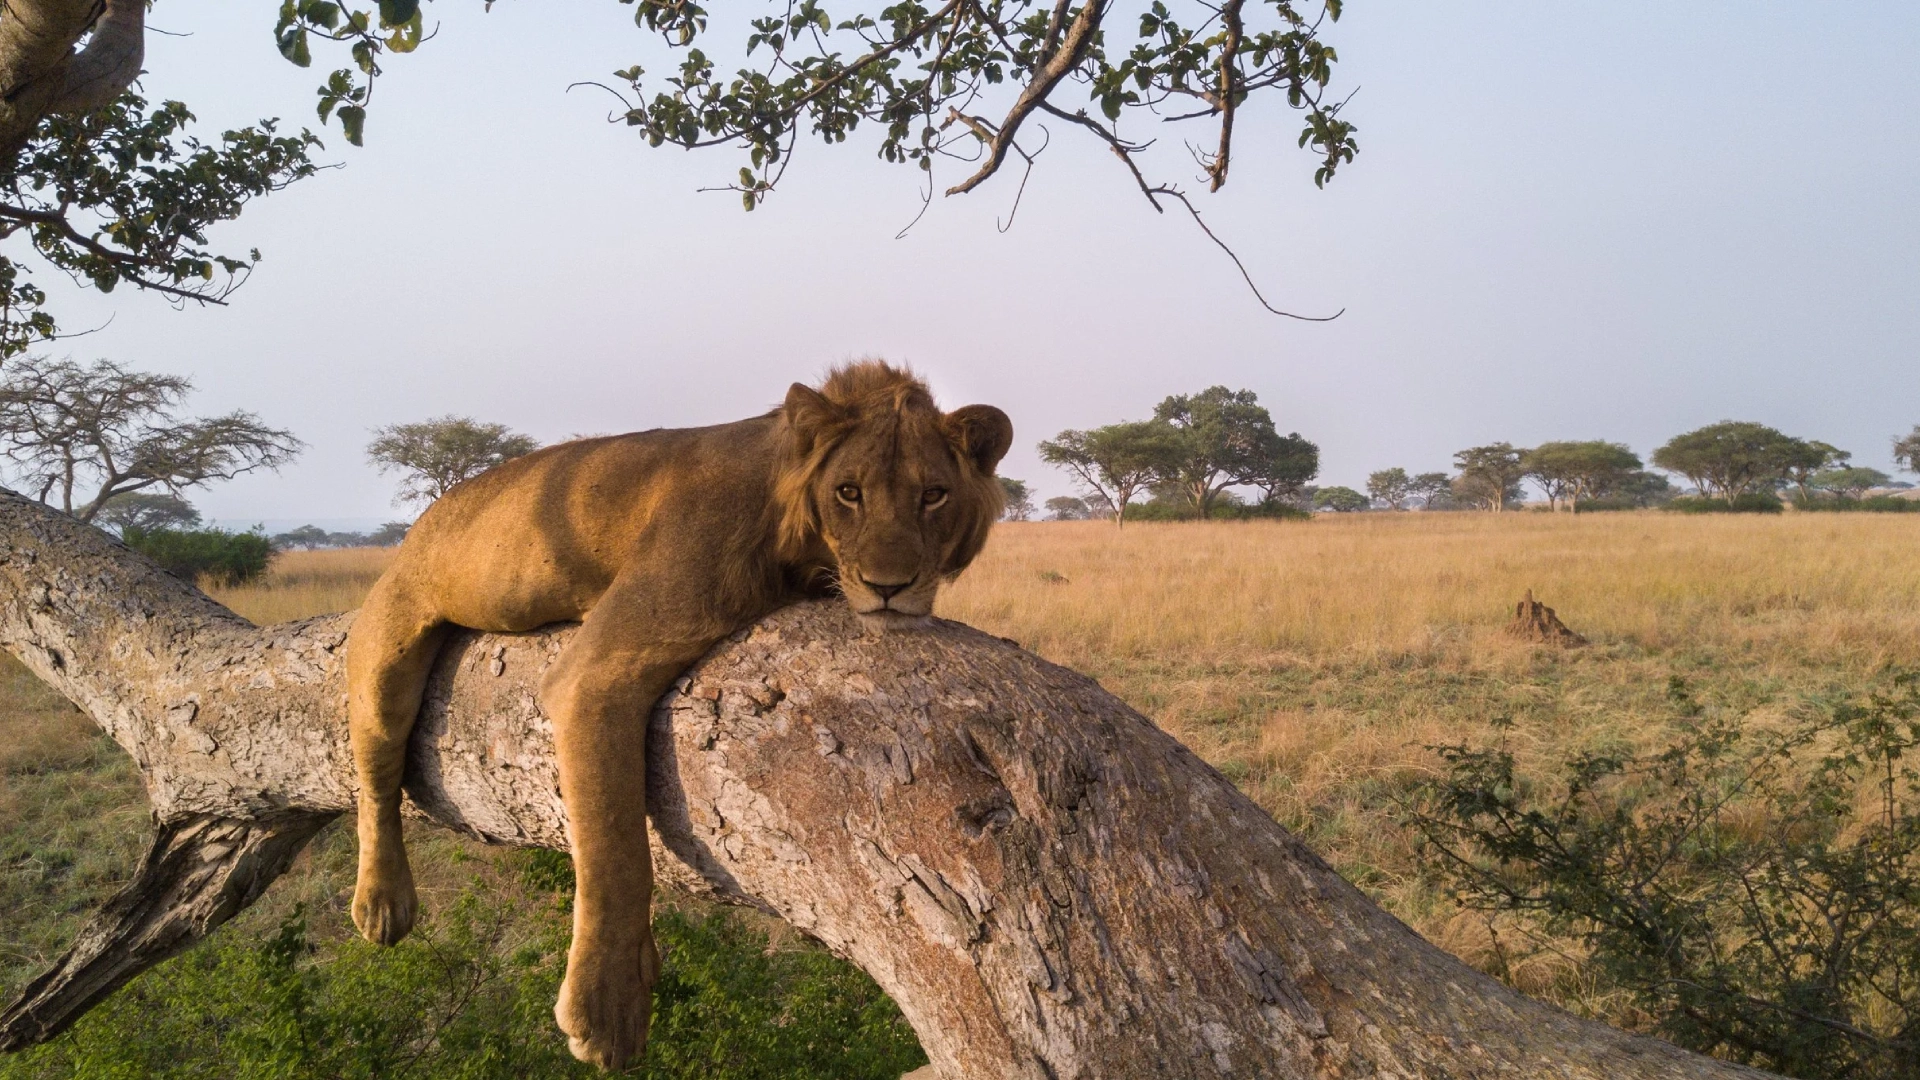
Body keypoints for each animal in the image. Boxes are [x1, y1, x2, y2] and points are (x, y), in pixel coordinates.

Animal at [344, 360, 1011, 1069]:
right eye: (849, 492)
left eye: (934, 495)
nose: (889, 587)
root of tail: (425, 518)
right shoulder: (595, 671)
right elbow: (616, 847)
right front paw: (609, 1003)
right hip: (388, 646)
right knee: (376, 779)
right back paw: (382, 903)